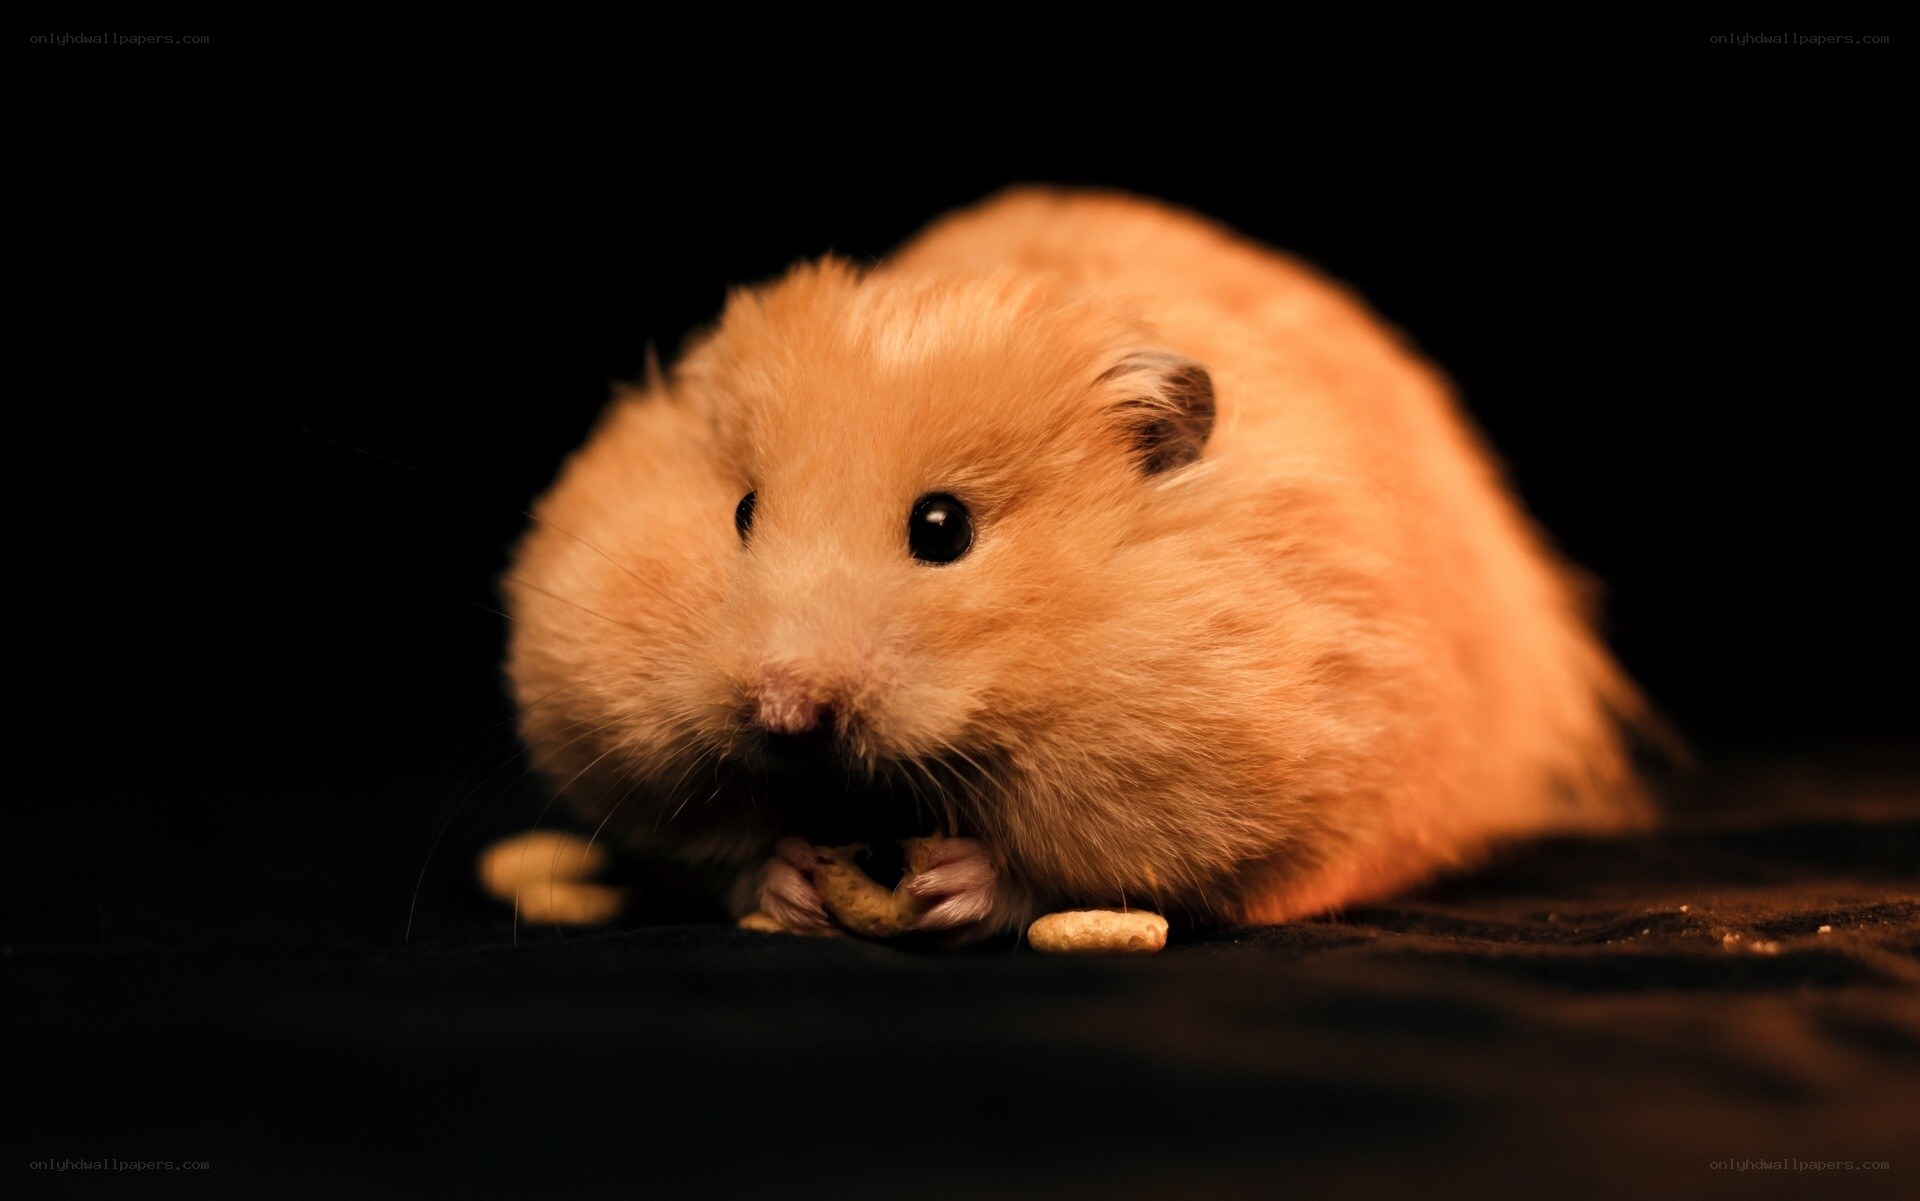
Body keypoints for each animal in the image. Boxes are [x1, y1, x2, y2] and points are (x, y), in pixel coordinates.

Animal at [501, 187, 1648, 941]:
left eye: (942, 528)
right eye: (740, 510)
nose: (785, 708)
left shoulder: (1214, 780)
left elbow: (1069, 870)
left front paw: (955, 882)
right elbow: (708, 839)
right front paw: (787, 878)